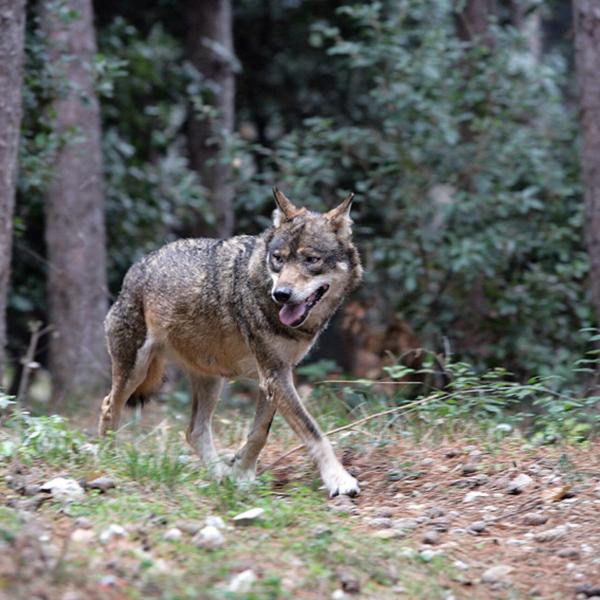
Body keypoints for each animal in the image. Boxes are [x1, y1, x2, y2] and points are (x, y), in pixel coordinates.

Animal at [99, 188, 360, 496]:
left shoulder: (275, 376)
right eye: (278, 259)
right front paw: (339, 479)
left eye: (311, 260)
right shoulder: (274, 375)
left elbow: (259, 433)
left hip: (212, 380)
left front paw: (241, 474)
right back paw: (109, 461)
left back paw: (220, 475)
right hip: (135, 372)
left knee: (194, 431)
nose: (281, 294)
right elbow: (313, 431)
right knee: (108, 406)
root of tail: (137, 267)